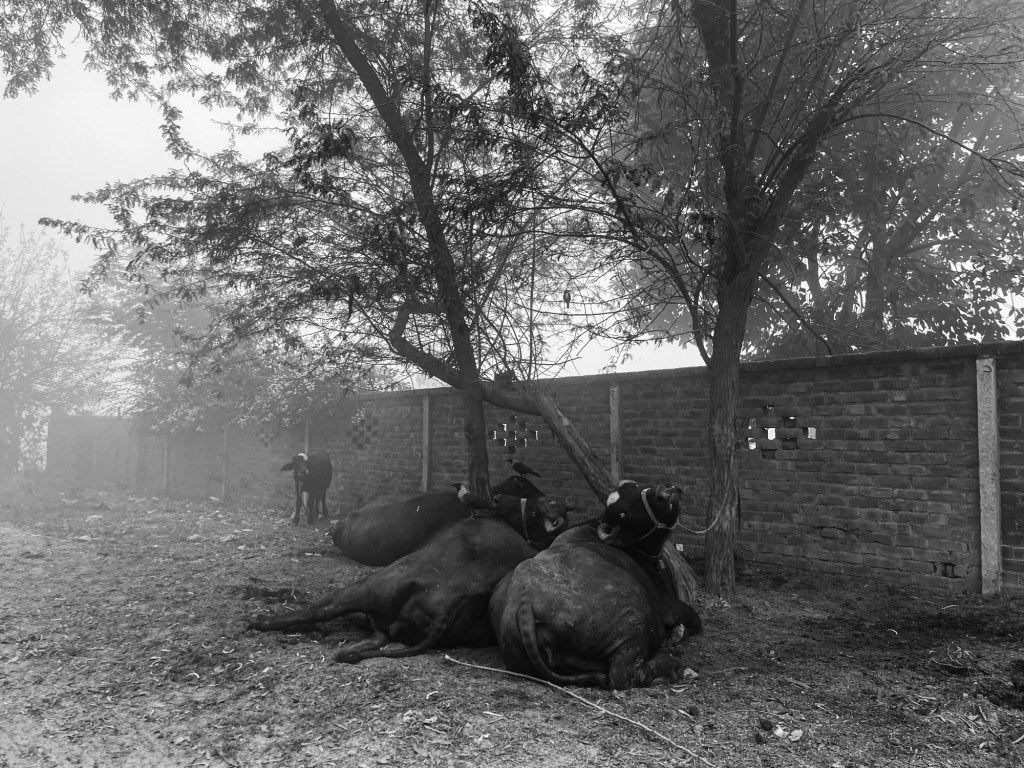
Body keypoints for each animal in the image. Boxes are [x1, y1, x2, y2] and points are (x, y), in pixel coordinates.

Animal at [488, 480, 703, 689]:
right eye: (623, 513)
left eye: (639, 486)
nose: (666, 492)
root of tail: (524, 603)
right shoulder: (670, 607)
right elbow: (695, 621)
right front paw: (676, 636)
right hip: (634, 628)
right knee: (623, 676)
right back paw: (677, 667)